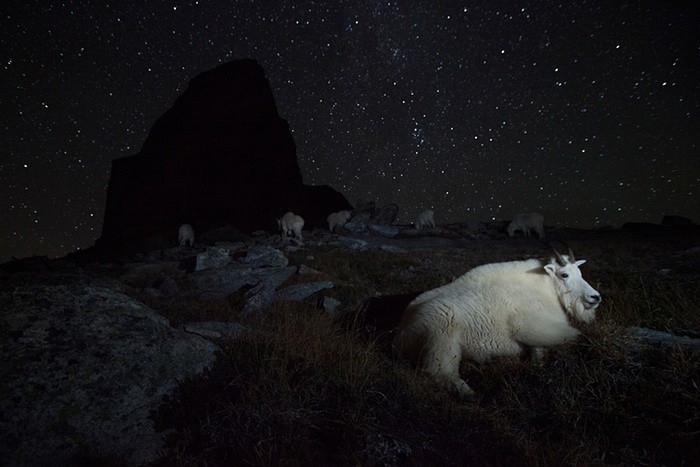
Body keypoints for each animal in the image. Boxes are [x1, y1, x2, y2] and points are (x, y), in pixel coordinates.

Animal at [394, 250, 600, 400]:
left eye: (580, 273)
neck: (544, 288)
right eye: (564, 274)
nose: (595, 297)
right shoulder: (531, 326)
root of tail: (402, 332)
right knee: (439, 372)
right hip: (441, 339)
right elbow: (568, 335)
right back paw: (467, 393)